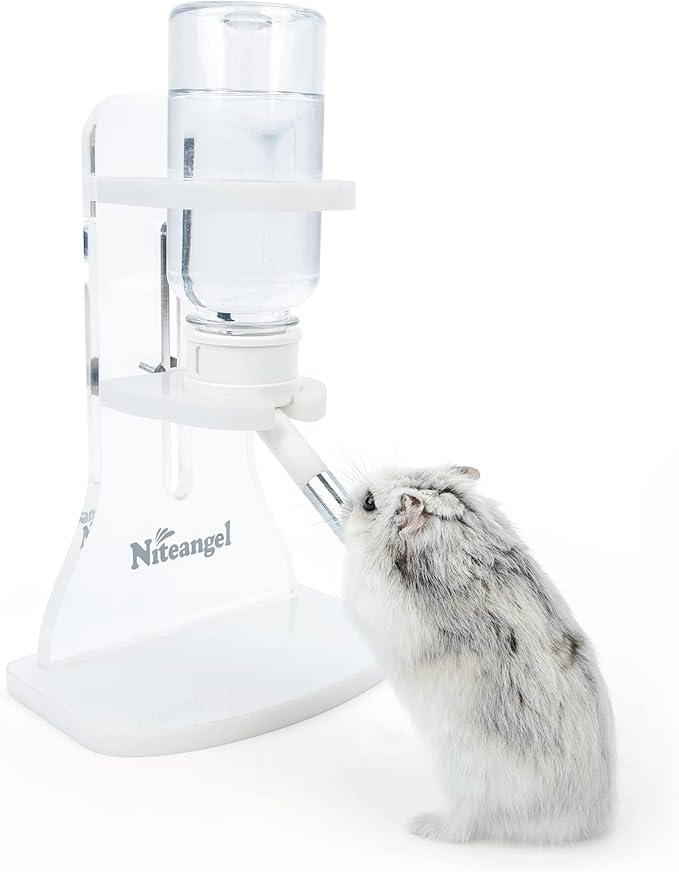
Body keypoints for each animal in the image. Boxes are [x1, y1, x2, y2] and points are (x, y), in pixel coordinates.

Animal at [342, 465, 614, 845]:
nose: (343, 502)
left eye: (369, 502)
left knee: (465, 826)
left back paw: (422, 826)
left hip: (466, 778)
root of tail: (583, 825)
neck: (457, 533)